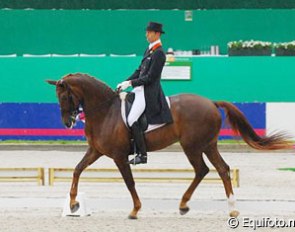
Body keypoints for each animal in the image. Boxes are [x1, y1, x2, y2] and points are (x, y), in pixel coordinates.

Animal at [45, 73, 292, 218]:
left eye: (64, 96)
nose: (67, 123)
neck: (106, 112)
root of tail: (211, 103)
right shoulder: (96, 150)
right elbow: (77, 170)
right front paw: (74, 204)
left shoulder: (119, 156)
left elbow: (129, 182)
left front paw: (135, 209)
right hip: (207, 145)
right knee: (221, 169)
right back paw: (228, 208)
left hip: (192, 146)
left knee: (203, 170)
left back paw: (189, 204)